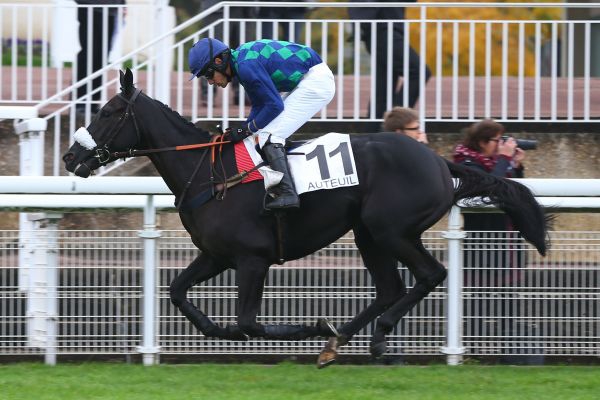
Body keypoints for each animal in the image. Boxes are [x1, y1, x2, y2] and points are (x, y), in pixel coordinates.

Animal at [62, 69, 548, 366]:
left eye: (108, 111)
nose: (69, 157)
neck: (210, 173)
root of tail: (439, 160)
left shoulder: (252, 258)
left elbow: (248, 322)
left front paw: (313, 324)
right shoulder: (217, 255)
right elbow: (178, 291)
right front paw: (212, 328)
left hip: (391, 229)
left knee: (430, 274)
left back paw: (370, 336)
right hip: (368, 233)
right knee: (390, 287)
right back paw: (339, 342)